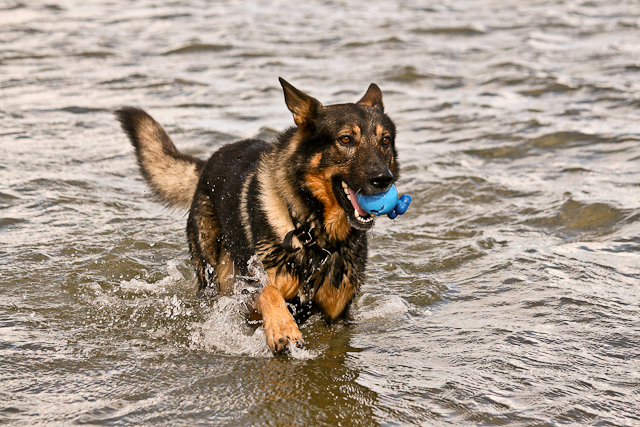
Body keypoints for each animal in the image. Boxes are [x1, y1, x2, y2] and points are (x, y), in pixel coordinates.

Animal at [112, 78, 398, 356]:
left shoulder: (337, 319)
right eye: (346, 139)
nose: (383, 179)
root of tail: (208, 163)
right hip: (214, 275)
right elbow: (268, 291)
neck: (313, 235)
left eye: (385, 141)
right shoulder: (252, 286)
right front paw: (283, 329)